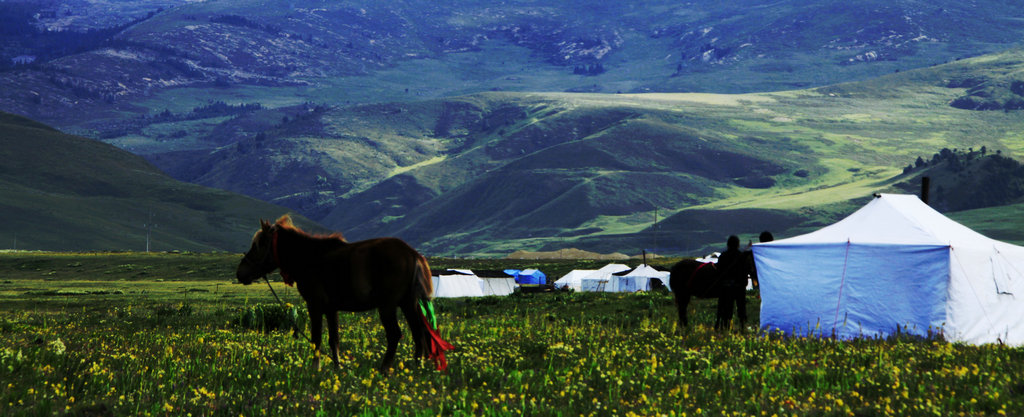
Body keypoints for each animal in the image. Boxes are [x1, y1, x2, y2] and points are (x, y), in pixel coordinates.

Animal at [237, 215, 454, 372]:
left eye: (258, 245)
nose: (240, 273)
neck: (309, 258)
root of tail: (412, 254)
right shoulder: (331, 308)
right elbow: (334, 340)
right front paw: (337, 367)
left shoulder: (315, 305)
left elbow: (316, 338)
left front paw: (314, 369)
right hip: (408, 303)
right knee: (419, 334)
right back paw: (417, 367)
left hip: (388, 306)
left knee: (395, 334)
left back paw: (384, 369)